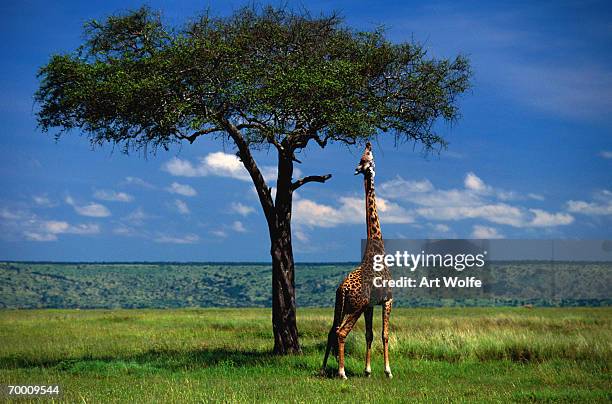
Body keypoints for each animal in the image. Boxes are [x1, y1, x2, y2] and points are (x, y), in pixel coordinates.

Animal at [320, 141, 392, 378]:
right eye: (367, 157)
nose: (368, 143)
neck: (377, 249)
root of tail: (342, 289)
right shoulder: (388, 300)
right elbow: (384, 334)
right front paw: (388, 371)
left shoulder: (370, 306)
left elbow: (370, 335)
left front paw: (368, 370)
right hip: (355, 308)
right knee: (341, 332)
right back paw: (342, 372)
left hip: (341, 306)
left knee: (332, 331)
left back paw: (324, 368)